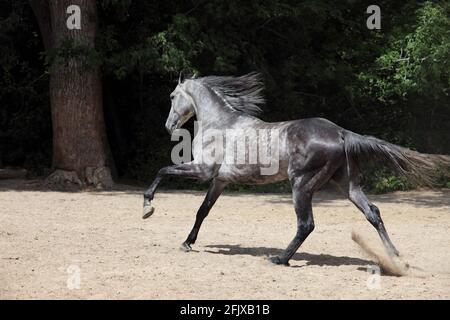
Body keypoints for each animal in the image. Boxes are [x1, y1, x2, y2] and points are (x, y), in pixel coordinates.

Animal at [142, 74, 448, 266]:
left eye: (172, 96)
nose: (169, 126)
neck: (221, 123)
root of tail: (341, 132)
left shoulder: (204, 171)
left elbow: (163, 170)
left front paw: (148, 207)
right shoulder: (219, 181)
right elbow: (202, 211)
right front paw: (187, 242)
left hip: (301, 184)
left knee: (306, 224)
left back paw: (280, 259)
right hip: (347, 185)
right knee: (373, 213)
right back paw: (395, 257)